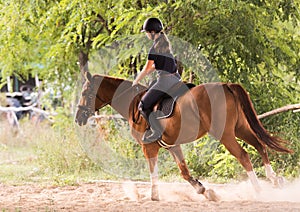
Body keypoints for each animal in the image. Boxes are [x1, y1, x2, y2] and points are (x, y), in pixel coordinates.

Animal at [75, 71, 292, 200]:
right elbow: (184, 171)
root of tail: (225, 85)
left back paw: (259, 190)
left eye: (85, 93)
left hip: (225, 134)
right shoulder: (172, 145)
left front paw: (153, 195)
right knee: (260, 146)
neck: (131, 102)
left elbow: (153, 172)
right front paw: (202, 190)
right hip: (240, 128)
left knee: (244, 155)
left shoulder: (148, 147)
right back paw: (274, 179)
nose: (78, 118)